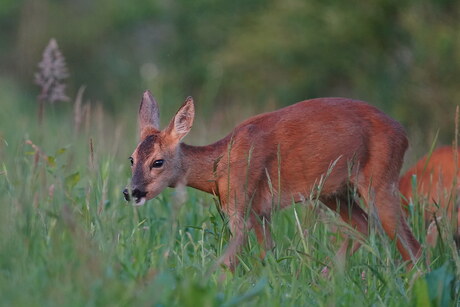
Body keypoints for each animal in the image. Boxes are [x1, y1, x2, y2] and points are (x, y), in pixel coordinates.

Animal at [122, 90, 420, 270]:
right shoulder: (261, 212)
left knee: (413, 247)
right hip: (334, 192)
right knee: (364, 226)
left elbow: (229, 261)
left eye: (158, 161)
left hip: (380, 181)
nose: (131, 191)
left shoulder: (240, 205)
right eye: (131, 158)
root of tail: (404, 134)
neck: (219, 168)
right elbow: (269, 254)